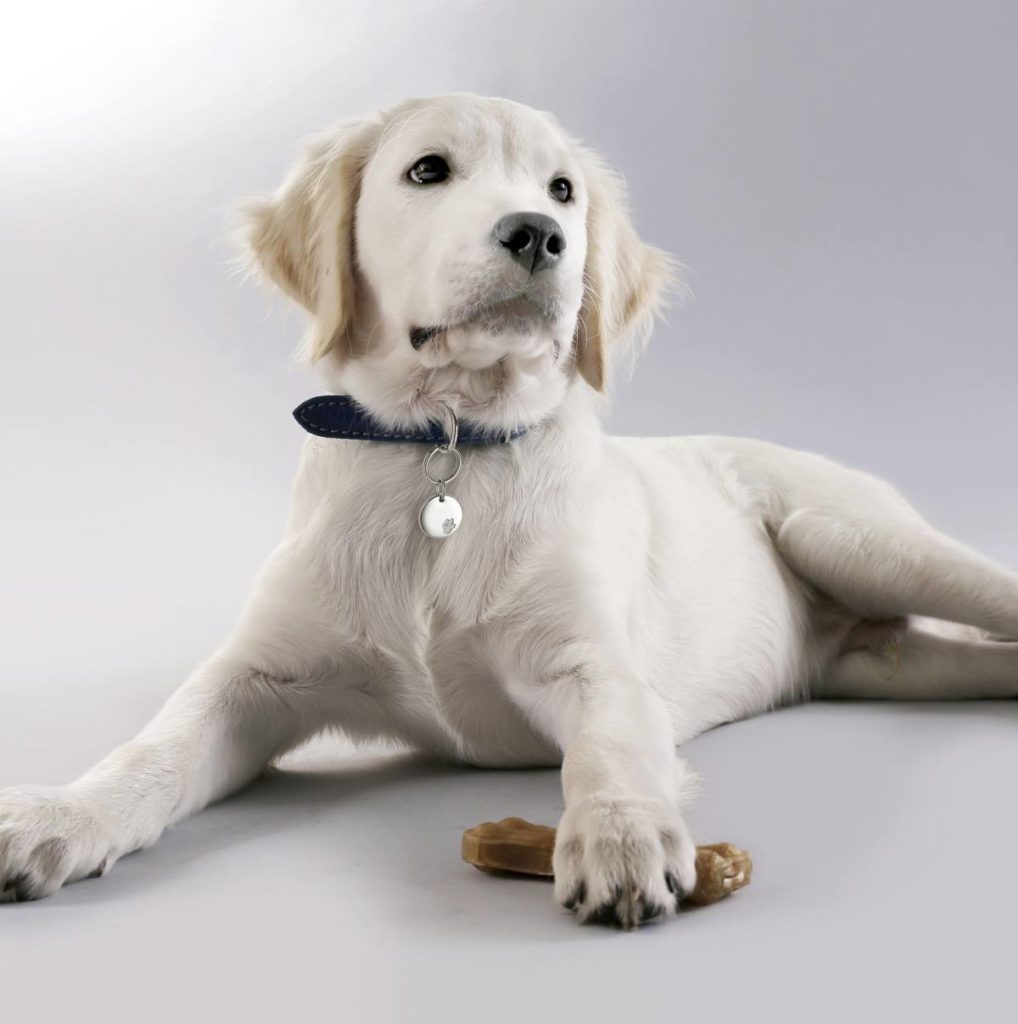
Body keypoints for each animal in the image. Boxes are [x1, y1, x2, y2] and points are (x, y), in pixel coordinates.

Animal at [1, 96, 1015, 929]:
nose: (538, 235)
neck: (446, 448)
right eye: (427, 170)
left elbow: (608, 749)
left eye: (563, 190)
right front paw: (61, 813)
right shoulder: (255, 679)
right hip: (889, 666)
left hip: (852, 538)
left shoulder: (594, 664)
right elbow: (151, 751)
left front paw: (621, 834)